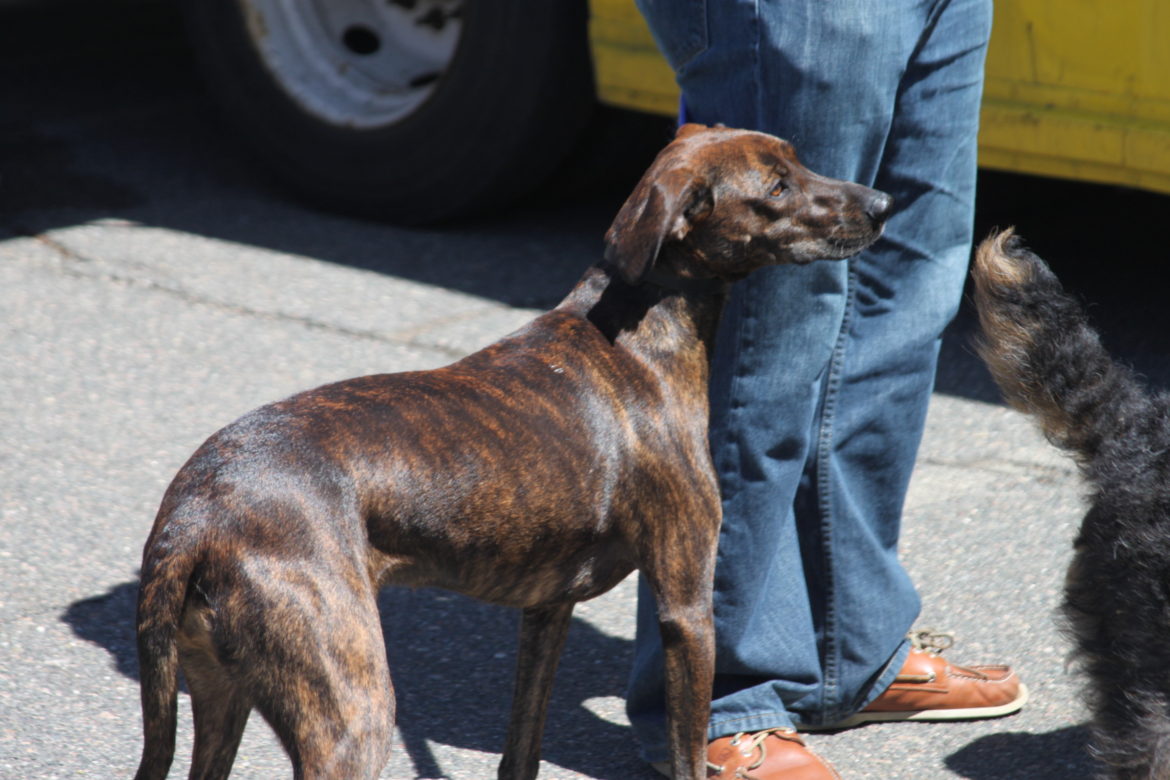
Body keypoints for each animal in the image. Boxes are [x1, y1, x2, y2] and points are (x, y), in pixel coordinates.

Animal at [132, 123, 889, 780]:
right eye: (777, 188)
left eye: (799, 159)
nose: (883, 205)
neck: (641, 330)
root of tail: (195, 515)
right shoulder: (686, 609)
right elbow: (683, 756)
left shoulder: (547, 610)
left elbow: (521, 745)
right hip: (350, 709)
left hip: (219, 691)